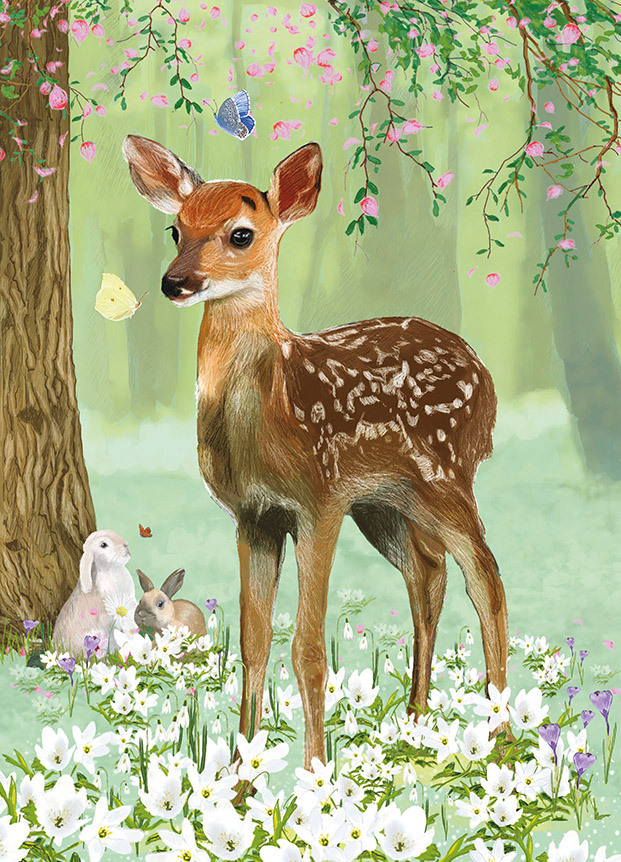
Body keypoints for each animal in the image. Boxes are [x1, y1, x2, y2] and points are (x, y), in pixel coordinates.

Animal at [122, 135, 509, 768]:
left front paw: (317, 776)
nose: (174, 283)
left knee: (487, 580)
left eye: (240, 234)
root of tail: (487, 378)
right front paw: (242, 774)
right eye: (175, 229)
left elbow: (307, 648)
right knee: (429, 573)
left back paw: (501, 742)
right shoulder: (253, 516)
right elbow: (253, 643)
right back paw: (414, 724)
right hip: (385, 502)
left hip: (445, 475)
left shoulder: (318, 502)